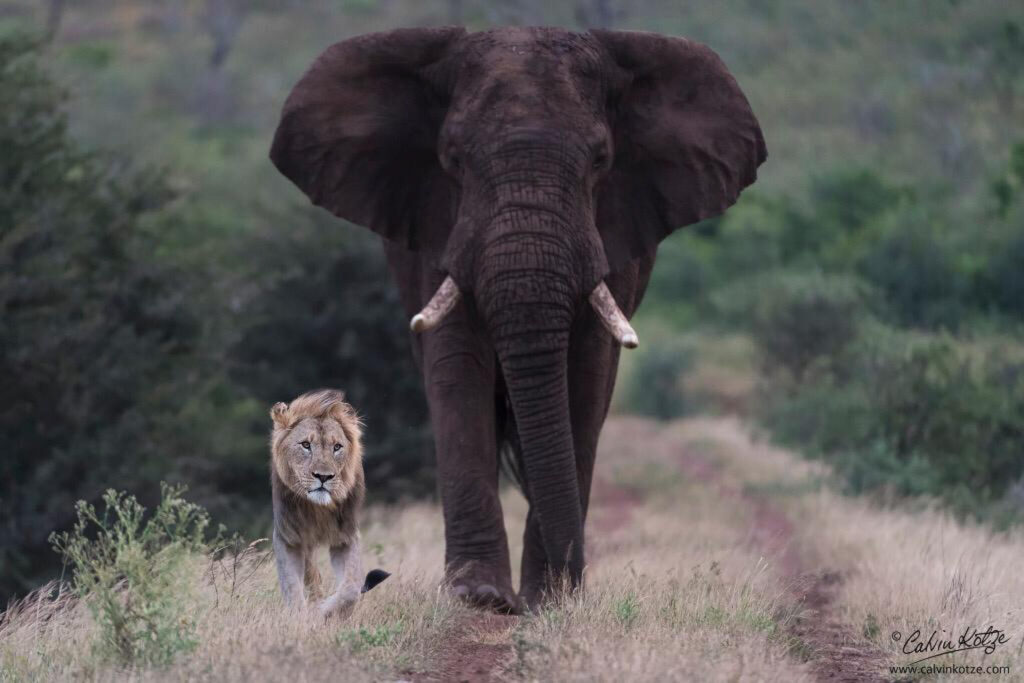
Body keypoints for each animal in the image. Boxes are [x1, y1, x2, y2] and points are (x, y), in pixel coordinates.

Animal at [269, 388, 389, 616]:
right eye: (306, 445)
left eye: (337, 447)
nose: (323, 477)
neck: (318, 509)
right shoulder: (288, 537)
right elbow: (292, 587)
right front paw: (301, 617)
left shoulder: (346, 536)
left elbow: (351, 589)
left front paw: (325, 611)